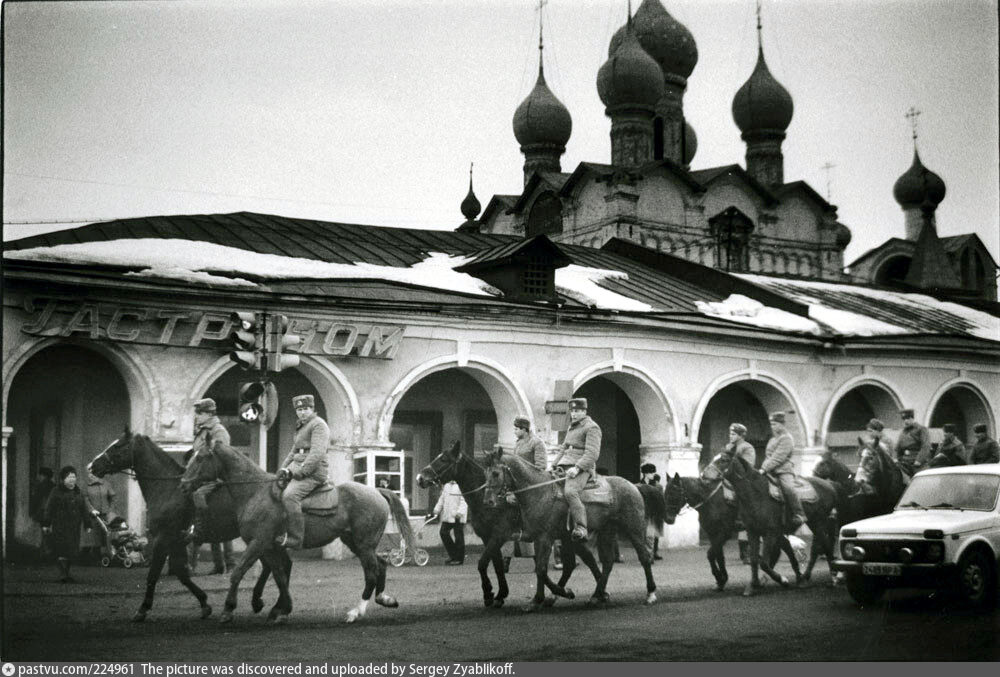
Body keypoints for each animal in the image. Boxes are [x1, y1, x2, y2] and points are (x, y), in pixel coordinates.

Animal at [88, 434, 278, 624]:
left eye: (117, 446)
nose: (92, 465)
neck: (168, 490)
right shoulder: (176, 541)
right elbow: (182, 574)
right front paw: (204, 603)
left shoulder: (163, 539)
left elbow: (153, 575)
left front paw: (143, 608)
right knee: (268, 566)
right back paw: (258, 601)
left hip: (257, 538)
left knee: (267, 565)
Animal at [181, 438, 414, 624]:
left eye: (200, 458)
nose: (183, 485)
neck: (255, 492)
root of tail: (376, 491)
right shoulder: (270, 547)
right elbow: (279, 576)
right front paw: (281, 609)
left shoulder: (259, 542)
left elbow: (240, 572)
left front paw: (229, 610)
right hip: (355, 543)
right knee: (381, 565)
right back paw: (384, 599)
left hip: (364, 545)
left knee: (371, 573)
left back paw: (355, 612)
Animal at [482, 448, 660, 608]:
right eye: (485, 473)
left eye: (496, 473)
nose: (488, 501)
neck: (540, 491)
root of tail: (634, 486)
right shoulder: (542, 538)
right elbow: (541, 568)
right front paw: (539, 599)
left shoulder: (546, 538)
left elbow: (541, 570)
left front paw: (563, 592)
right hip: (606, 531)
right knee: (607, 562)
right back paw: (597, 595)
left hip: (634, 529)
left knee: (644, 557)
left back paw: (650, 594)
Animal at [720, 452, 836, 596]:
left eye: (723, 460)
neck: (758, 494)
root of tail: (830, 486)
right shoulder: (753, 532)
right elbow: (755, 560)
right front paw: (753, 586)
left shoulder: (771, 533)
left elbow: (764, 563)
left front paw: (783, 580)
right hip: (814, 524)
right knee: (816, 547)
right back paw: (804, 578)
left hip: (818, 522)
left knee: (824, 546)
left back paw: (832, 577)